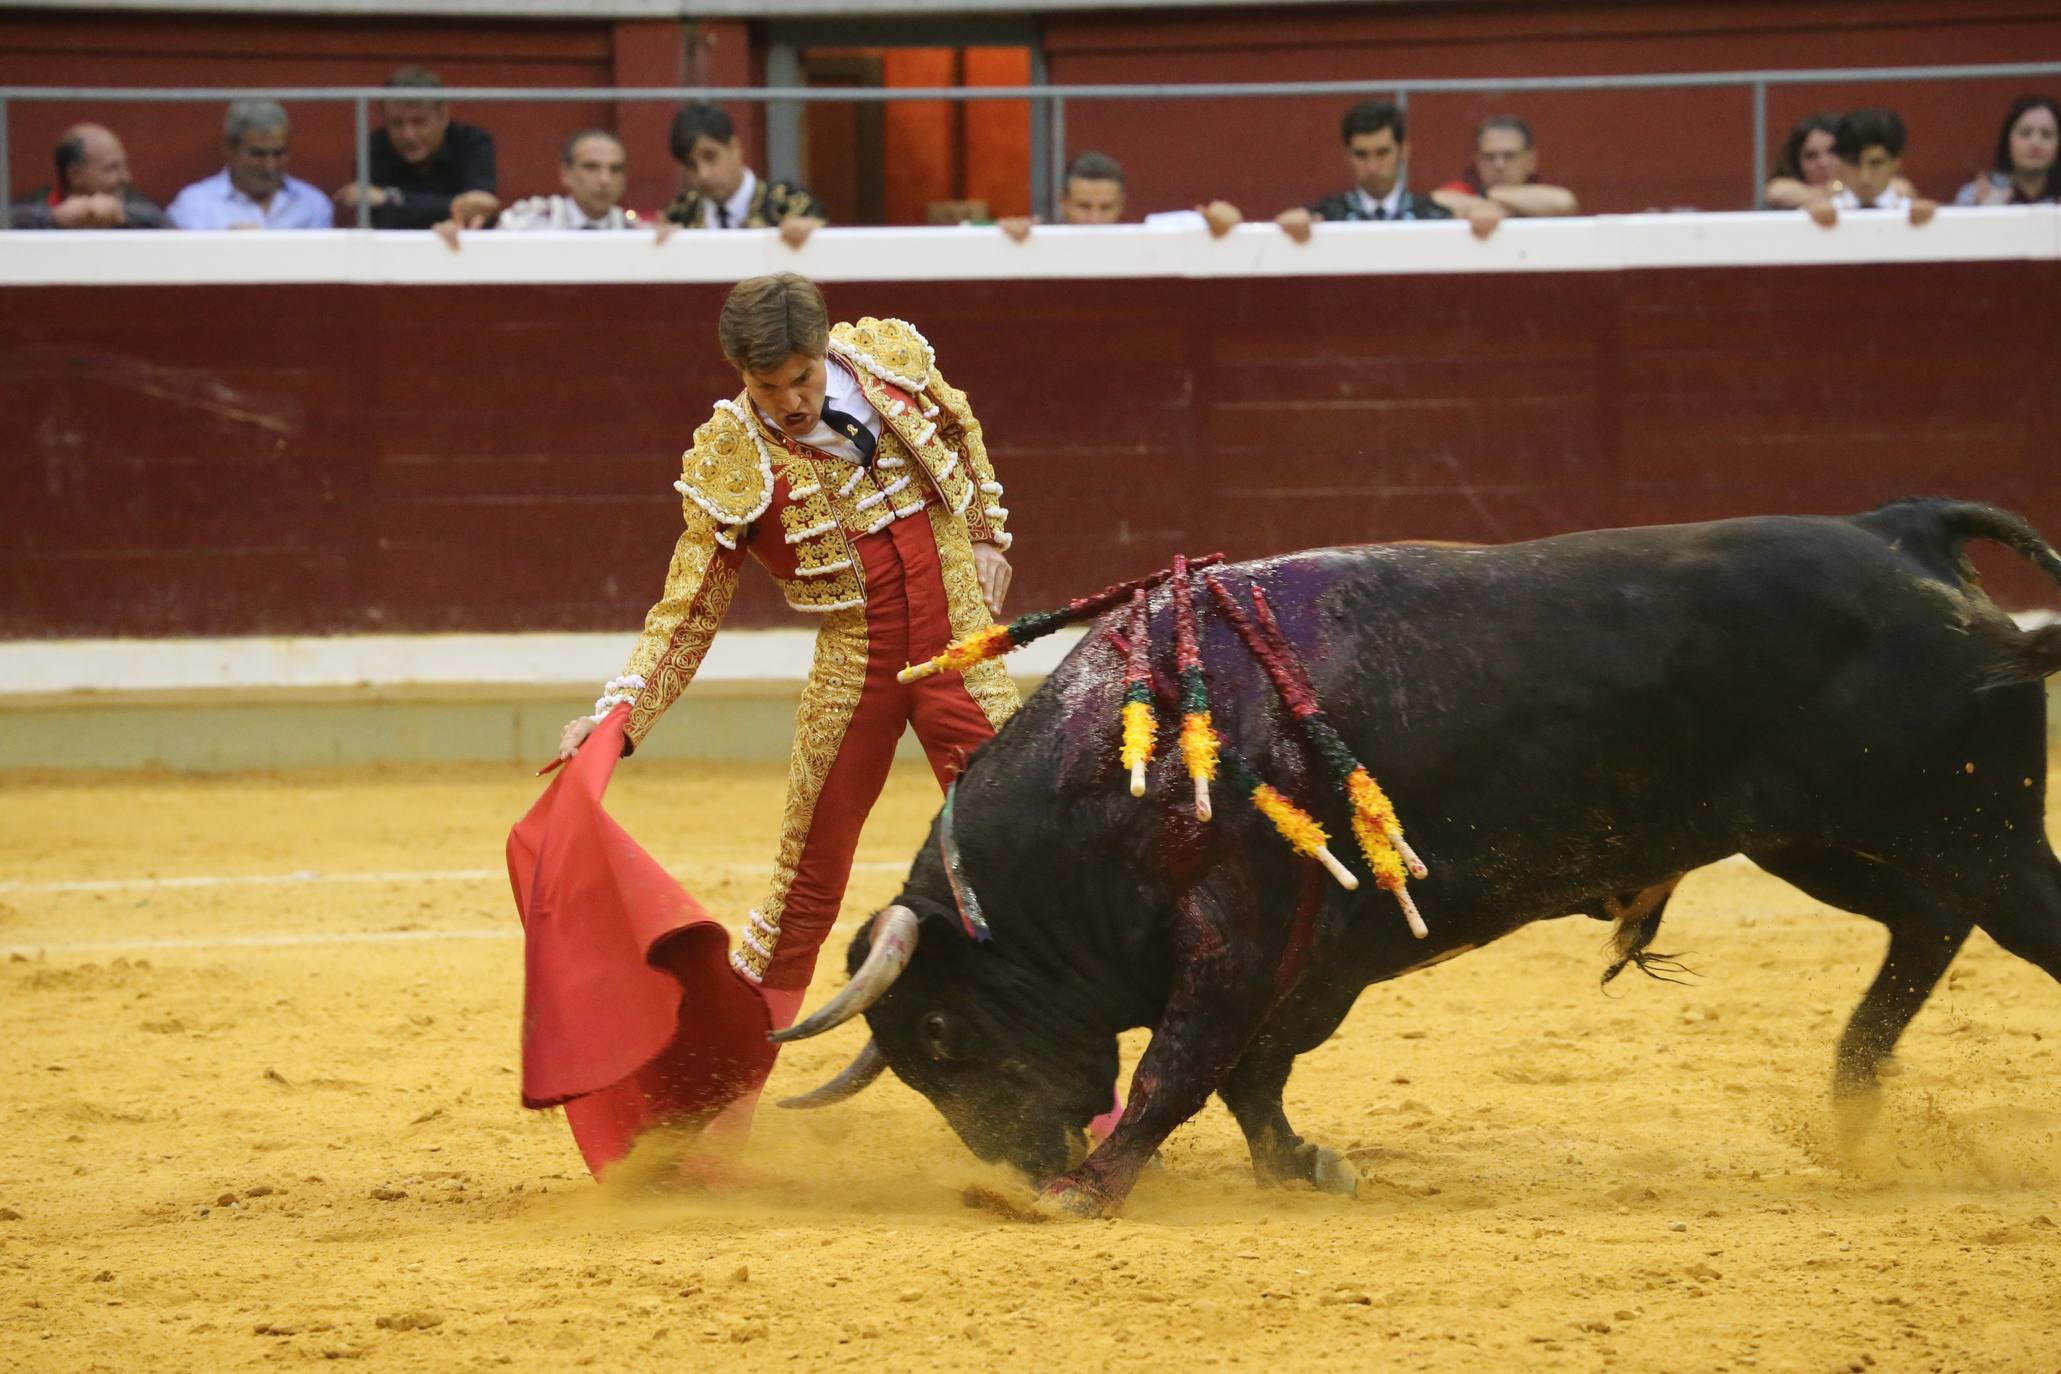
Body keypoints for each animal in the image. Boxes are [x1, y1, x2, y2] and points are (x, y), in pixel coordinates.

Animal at [774, 502, 2061, 1211]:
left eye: (944, 1037)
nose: (1015, 1158)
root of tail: (1902, 531)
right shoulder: (1312, 956)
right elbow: (1252, 1073)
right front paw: (1305, 1166)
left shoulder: (1238, 935)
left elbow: (1183, 1066)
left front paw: (1084, 1193)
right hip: (1824, 838)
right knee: (1925, 922)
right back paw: (1853, 1098)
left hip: (1973, 831)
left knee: (1994, 917)